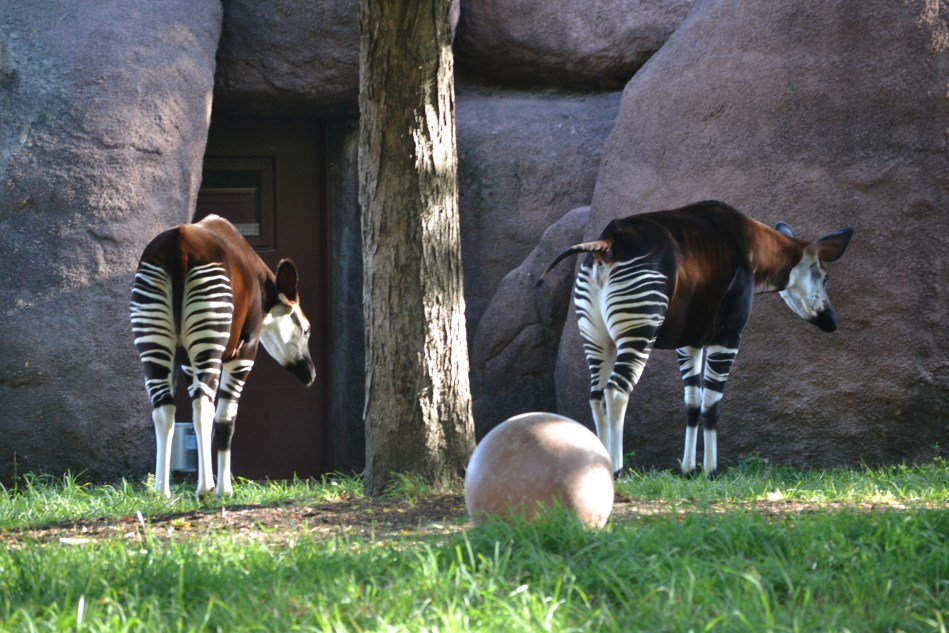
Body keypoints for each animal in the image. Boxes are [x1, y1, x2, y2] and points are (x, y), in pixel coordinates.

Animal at [131, 214, 316, 497]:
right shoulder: (244, 352)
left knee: (164, 410)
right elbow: (227, 419)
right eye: (306, 330)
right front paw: (225, 489)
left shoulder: (187, 363)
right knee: (203, 408)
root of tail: (178, 246)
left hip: (152, 342)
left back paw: (162, 491)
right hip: (209, 339)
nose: (311, 374)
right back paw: (206, 489)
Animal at [537, 200, 853, 477]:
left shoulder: (689, 340)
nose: (832, 322)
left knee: (596, 394)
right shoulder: (728, 334)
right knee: (616, 391)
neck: (751, 246)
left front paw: (688, 470)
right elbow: (712, 404)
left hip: (598, 336)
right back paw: (616, 468)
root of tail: (607, 243)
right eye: (825, 278)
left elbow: (691, 402)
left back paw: (599, 463)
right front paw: (710, 471)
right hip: (640, 328)